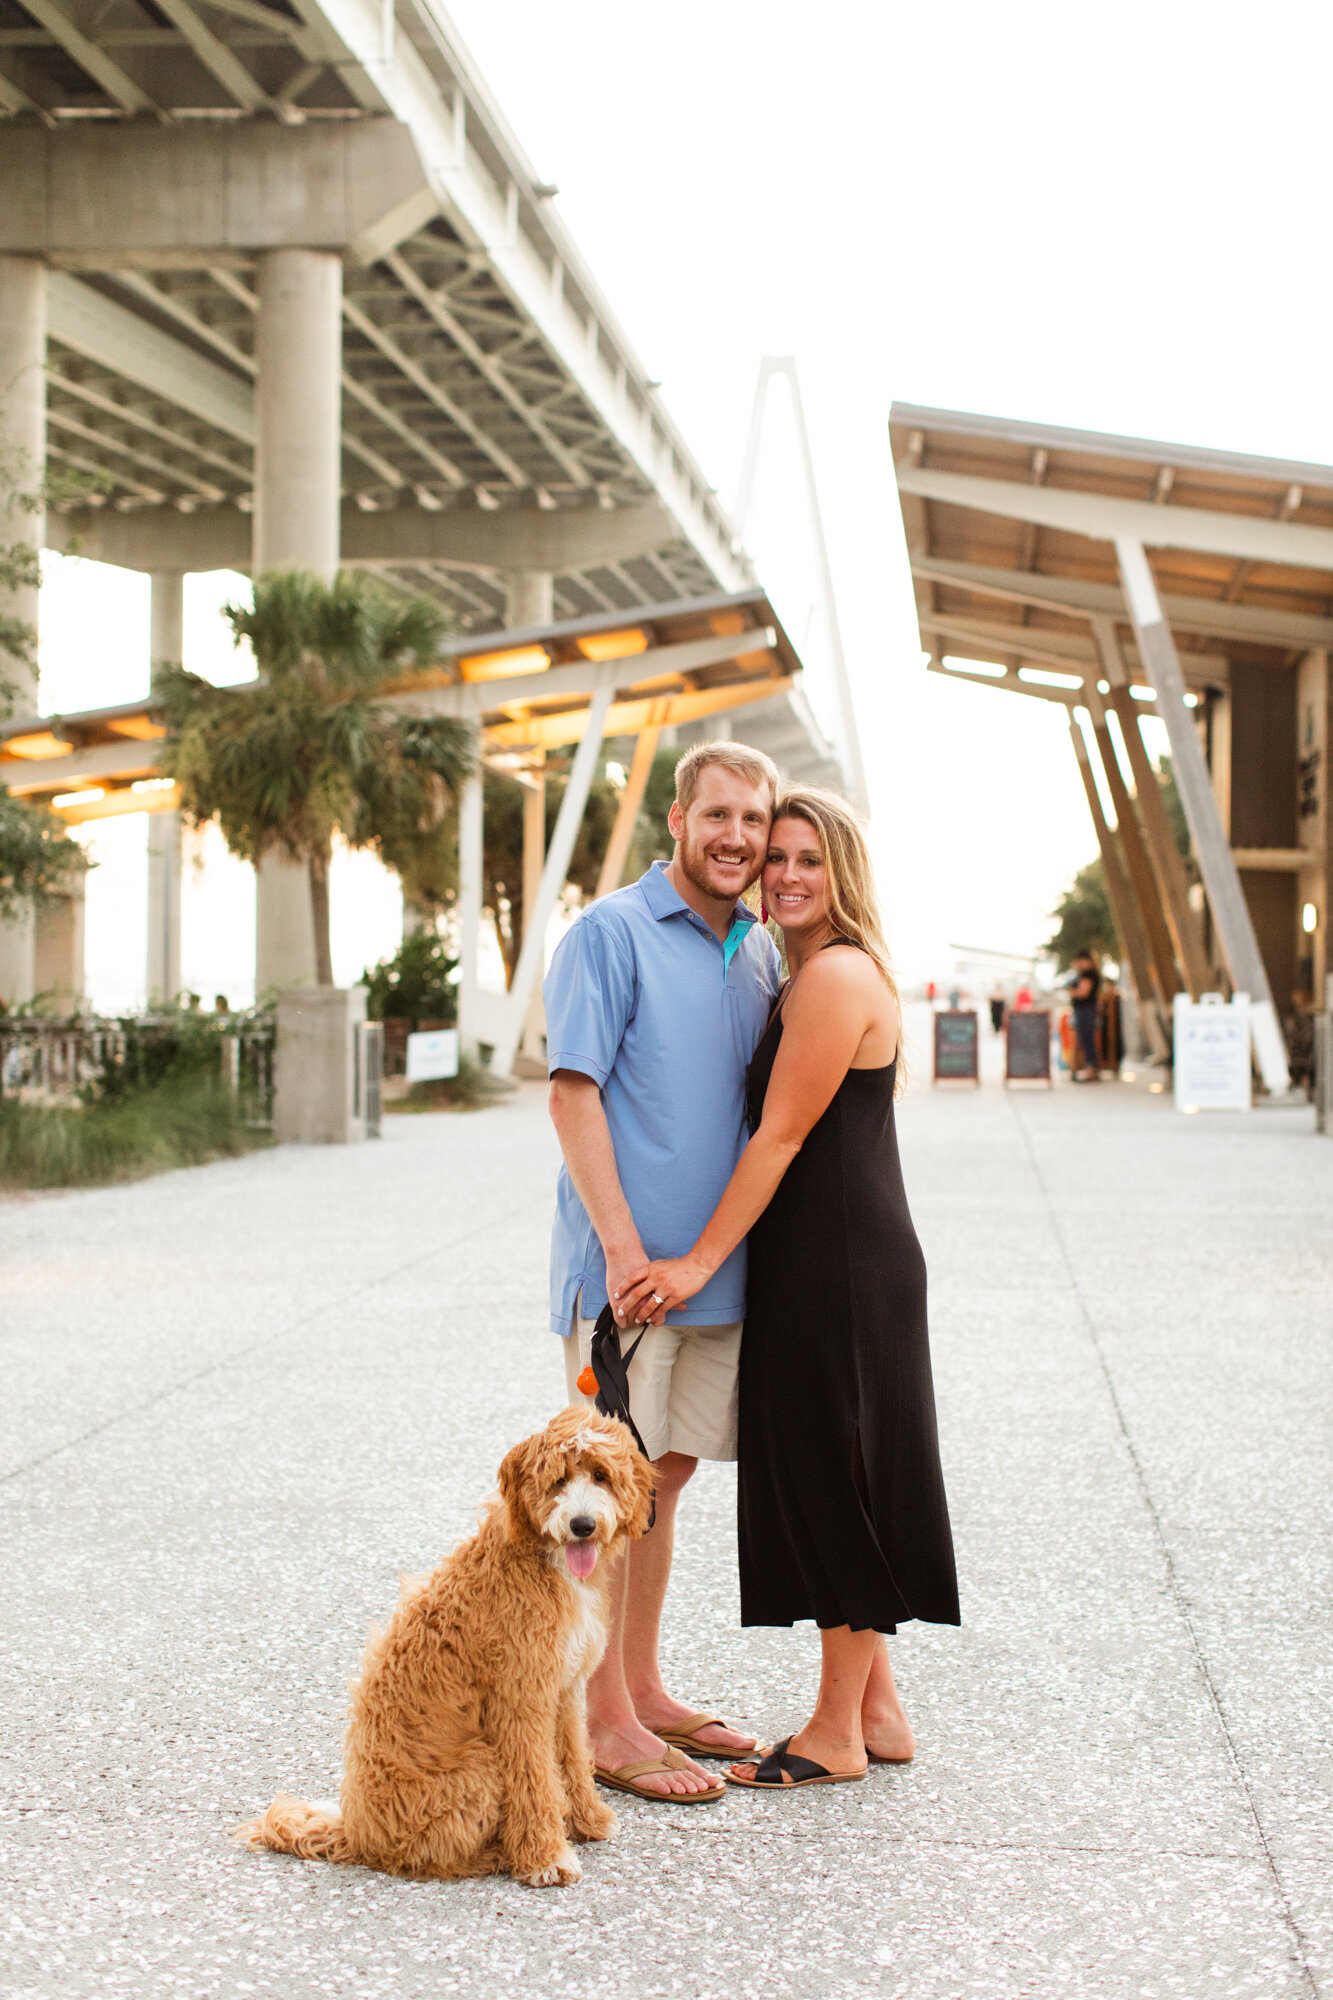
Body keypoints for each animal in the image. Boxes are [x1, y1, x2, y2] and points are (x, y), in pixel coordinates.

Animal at [241, 1408, 656, 1888]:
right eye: (558, 1480)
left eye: (601, 1475)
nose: (582, 1525)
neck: (539, 1559)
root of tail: (357, 1834)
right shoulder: (521, 1701)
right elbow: (535, 1781)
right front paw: (546, 1857)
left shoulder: (564, 1690)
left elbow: (572, 1758)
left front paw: (588, 1820)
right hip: (477, 1767)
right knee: (429, 1859)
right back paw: (495, 1854)